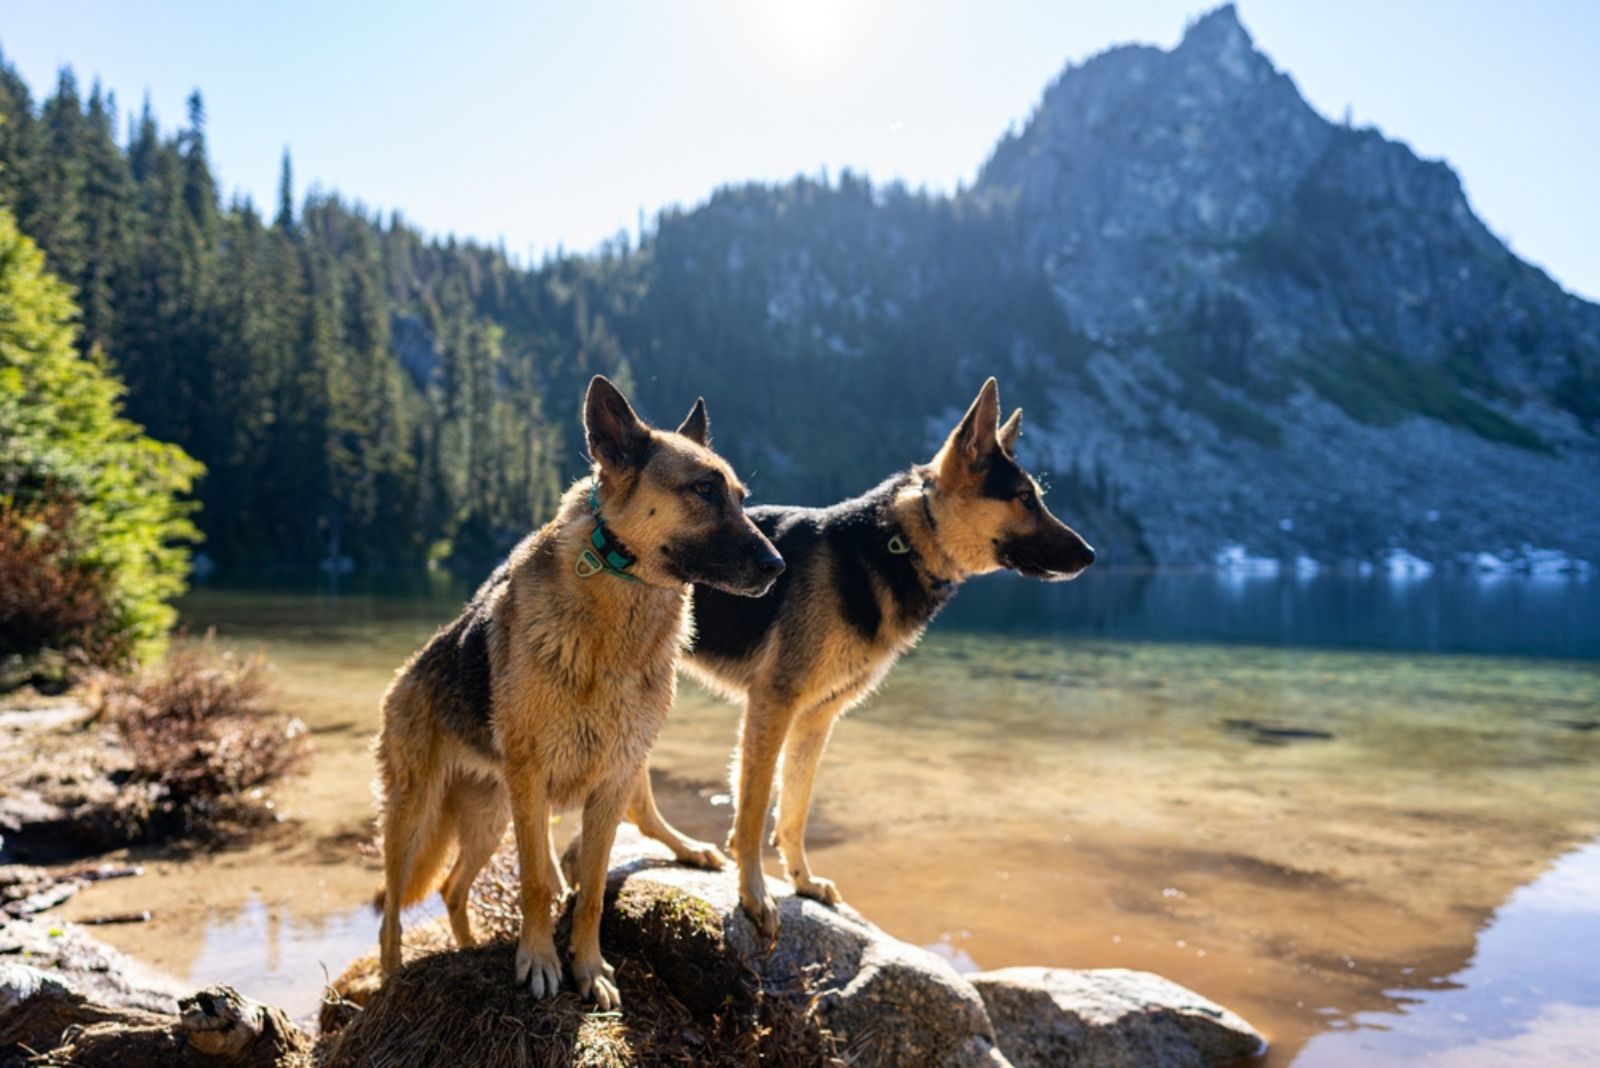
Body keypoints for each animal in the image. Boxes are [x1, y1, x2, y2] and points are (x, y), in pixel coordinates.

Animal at [369, 377, 780, 1010]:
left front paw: (589, 968)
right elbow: (538, 882)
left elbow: (589, 892)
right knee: (392, 906)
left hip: (491, 818)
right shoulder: (534, 781)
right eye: (704, 491)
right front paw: (539, 961)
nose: (778, 565)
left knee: (454, 888)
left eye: (739, 497)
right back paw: (390, 979)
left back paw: (468, 948)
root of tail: (406, 674)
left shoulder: (612, 779)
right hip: (417, 816)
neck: (617, 613)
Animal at [617, 378, 1094, 927]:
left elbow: (795, 809)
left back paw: (685, 849)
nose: (1091, 555)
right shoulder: (772, 703)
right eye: (1024, 498)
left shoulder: (816, 718)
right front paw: (754, 894)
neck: (901, 543)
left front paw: (801, 881)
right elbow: (755, 809)